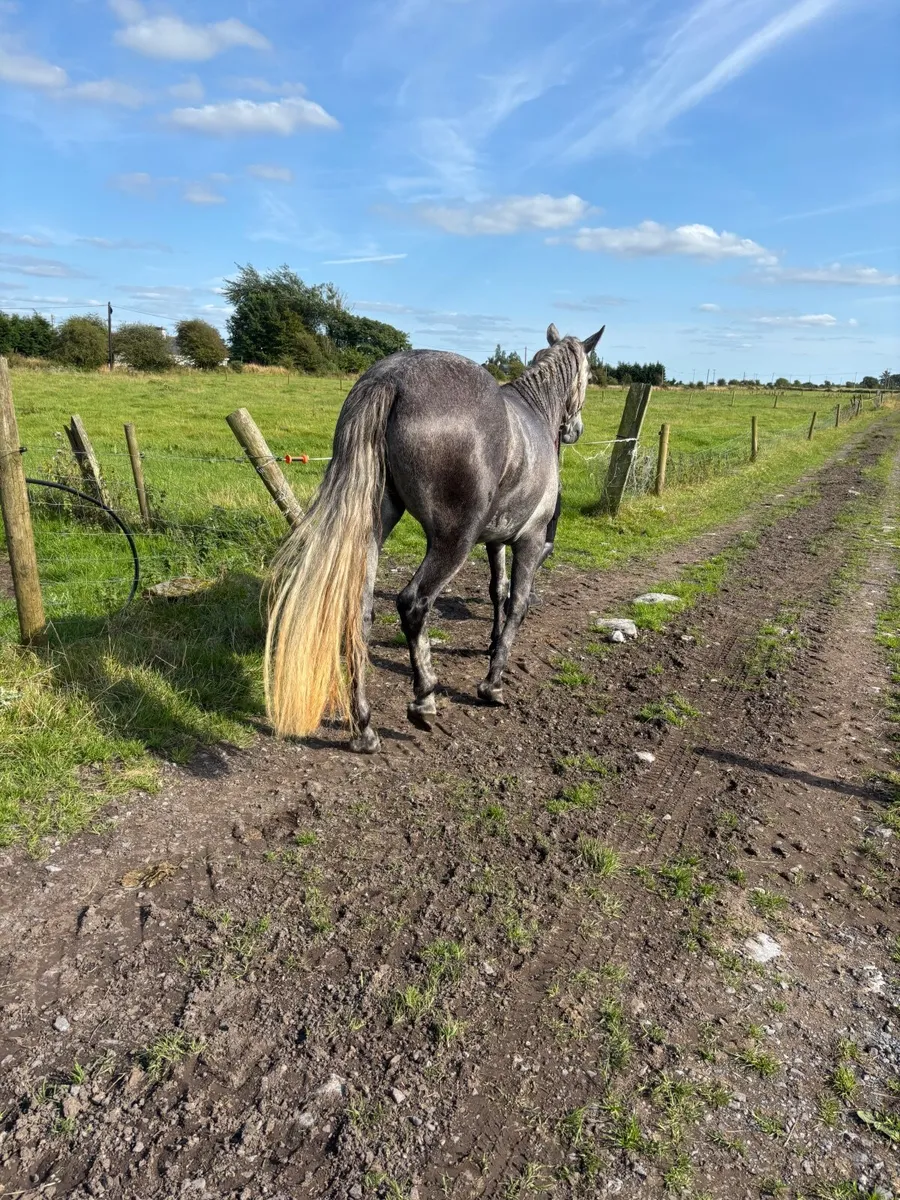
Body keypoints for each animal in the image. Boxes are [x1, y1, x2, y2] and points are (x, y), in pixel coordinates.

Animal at [264, 321, 604, 753]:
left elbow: (497, 591)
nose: (575, 429)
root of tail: (392, 378)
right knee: (413, 604)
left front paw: (491, 643)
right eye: (588, 376)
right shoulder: (528, 541)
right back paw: (424, 698)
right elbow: (517, 604)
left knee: (359, 613)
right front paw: (492, 683)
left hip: (374, 530)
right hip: (451, 542)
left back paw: (365, 728)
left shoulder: (496, 541)